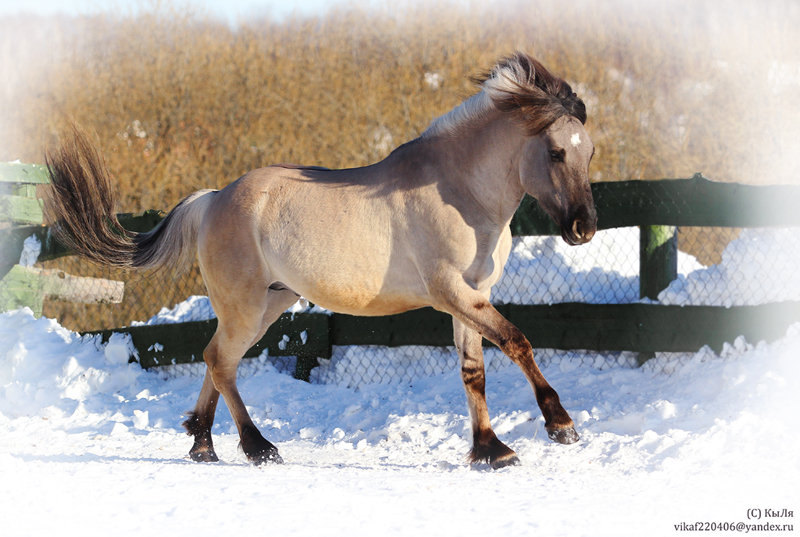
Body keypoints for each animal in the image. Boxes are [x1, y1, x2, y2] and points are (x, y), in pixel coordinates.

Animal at [43, 51, 592, 468]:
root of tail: (214, 198)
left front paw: (490, 450)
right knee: (221, 362)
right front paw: (560, 426)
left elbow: (472, 370)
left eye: (588, 153)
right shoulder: (450, 291)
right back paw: (258, 447)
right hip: (246, 306)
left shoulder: (473, 294)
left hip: (268, 304)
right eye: (556, 152)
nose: (583, 228)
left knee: (216, 358)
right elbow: (516, 341)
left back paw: (202, 443)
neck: (457, 191)